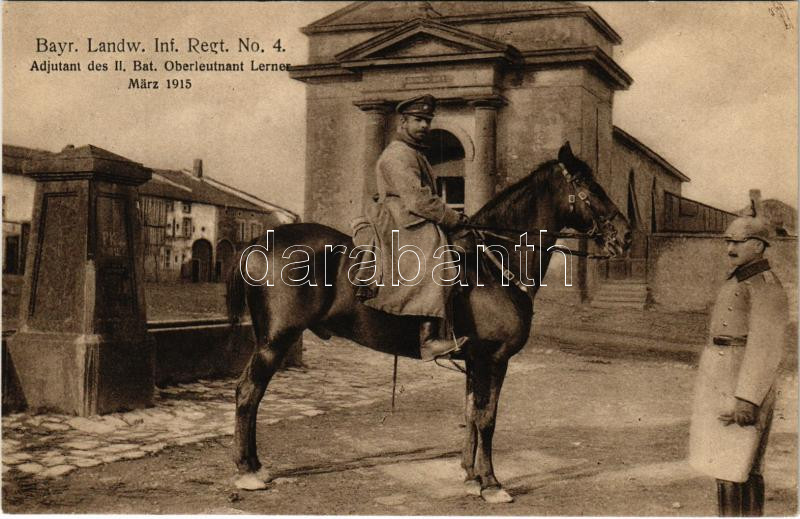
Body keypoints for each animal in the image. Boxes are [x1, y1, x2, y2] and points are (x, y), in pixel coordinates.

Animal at [225, 142, 632, 504]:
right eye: (588, 186)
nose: (626, 235)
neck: (495, 262)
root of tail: (260, 240)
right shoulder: (493, 359)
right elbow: (488, 418)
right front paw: (492, 484)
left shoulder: (474, 361)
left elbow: (470, 414)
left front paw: (471, 477)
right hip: (275, 341)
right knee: (248, 393)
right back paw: (248, 472)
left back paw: (255, 466)